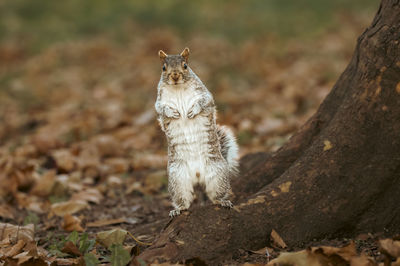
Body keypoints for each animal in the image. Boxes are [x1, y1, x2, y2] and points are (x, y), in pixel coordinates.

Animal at [155, 47, 238, 217]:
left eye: (185, 65)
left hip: (217, 174)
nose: (175, 75)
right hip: (178, 179)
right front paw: (172, 113)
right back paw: (178, 209)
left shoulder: (205, 94)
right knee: (183, 200)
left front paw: (193, 111)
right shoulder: (159, 101)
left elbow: (204, 102)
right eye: (163, 68)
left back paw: (223, 201)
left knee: (215, 195)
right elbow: (161, 108)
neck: (177, 88)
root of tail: (198, 176)